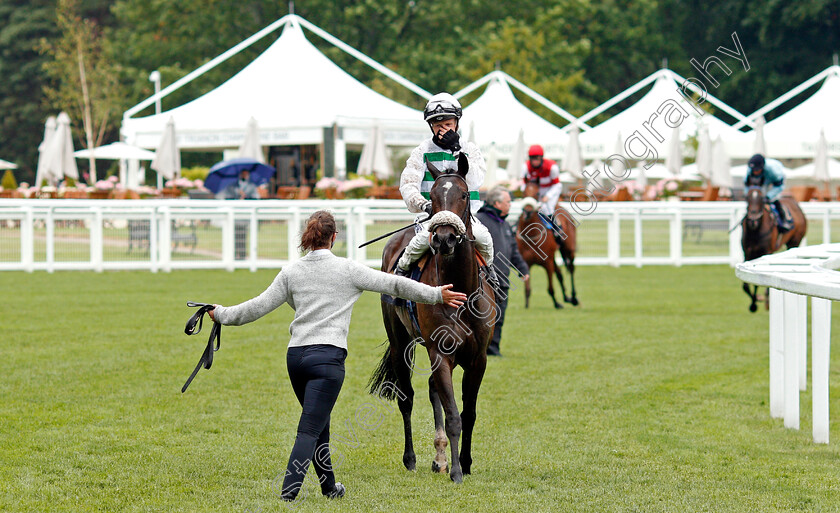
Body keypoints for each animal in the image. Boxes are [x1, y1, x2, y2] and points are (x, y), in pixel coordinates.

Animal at [370, 154, 496, 482]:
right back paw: (412, 458)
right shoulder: (440, 353)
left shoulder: (477, 358)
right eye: (435, 197)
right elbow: (452, 415)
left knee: (430, 390)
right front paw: (456, 471)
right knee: (407, 398)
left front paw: (464, 462)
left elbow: (469, 413)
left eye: (463, 194)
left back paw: (439, 457)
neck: (461, 293)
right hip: (400, 343)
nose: (444, 238)